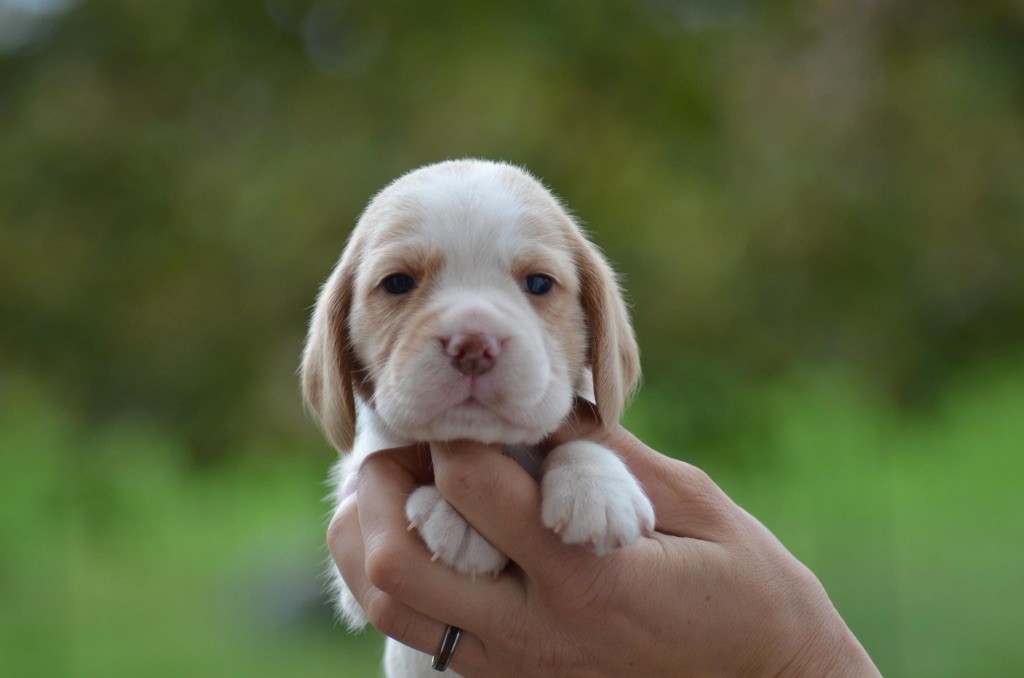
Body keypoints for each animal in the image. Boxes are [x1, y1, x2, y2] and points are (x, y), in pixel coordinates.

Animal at [303, 160, 651, 678]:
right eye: (398, 283)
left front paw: (598, 490)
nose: (472, 344)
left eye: (539, 283)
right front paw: (459, 520)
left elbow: (579, 437)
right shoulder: (353, 559)